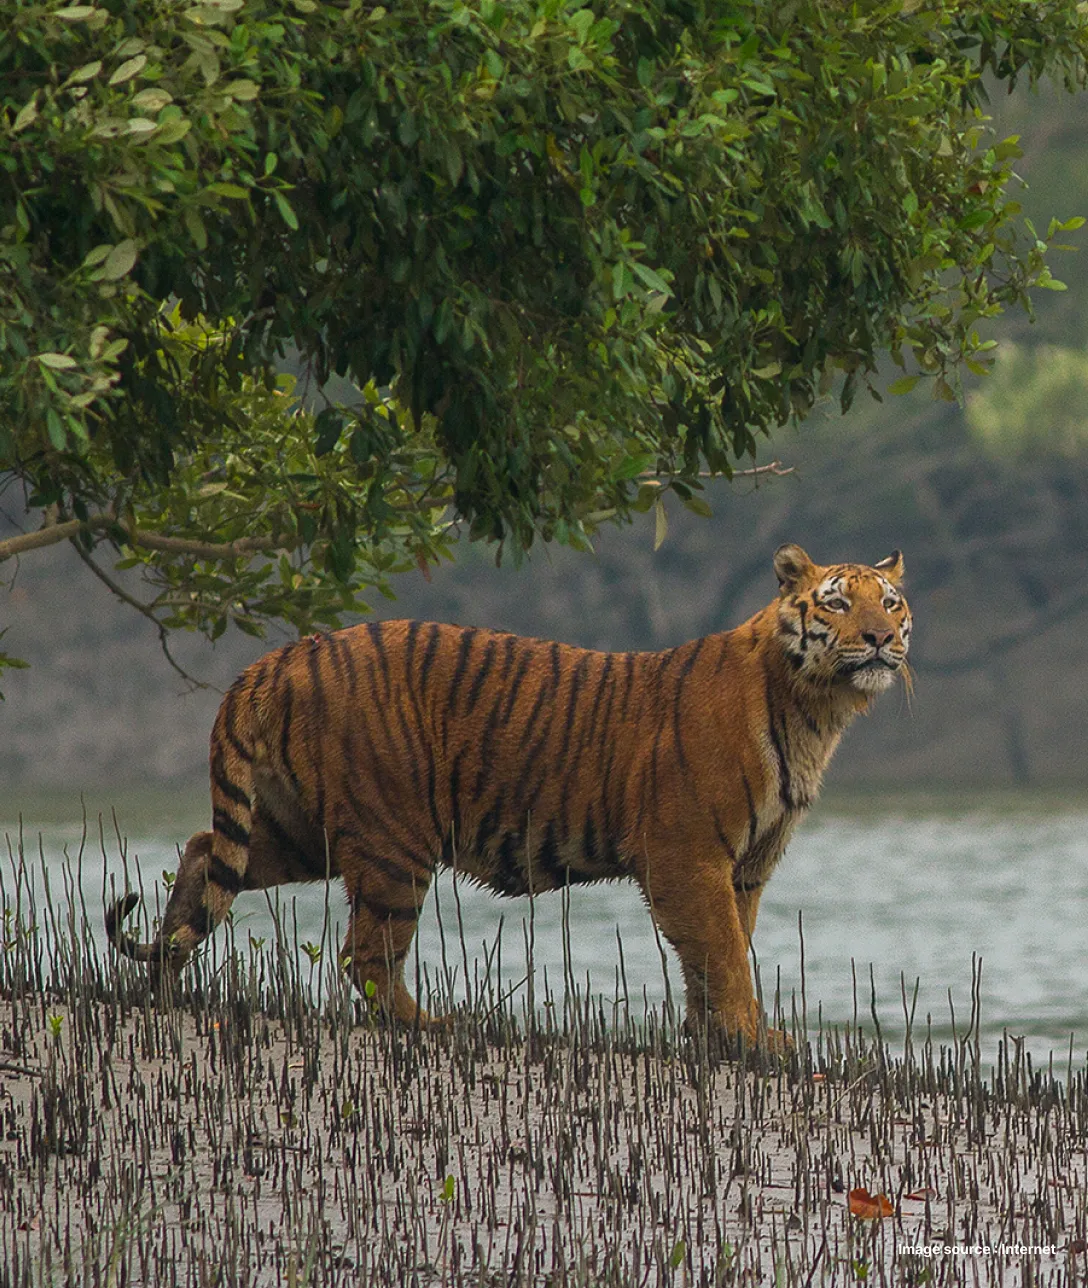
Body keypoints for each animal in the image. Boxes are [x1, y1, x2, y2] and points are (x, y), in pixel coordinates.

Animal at [106, 543, 911, 1049]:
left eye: (892, 603)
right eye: (838, 605)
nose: (879, 639)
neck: (816, 709)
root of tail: (280, 656)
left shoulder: (746, 865)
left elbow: (724, 950)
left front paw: (716, 1035)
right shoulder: (689, 855)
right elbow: (722, 953)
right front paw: (751, 1038)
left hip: (302, 829)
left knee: (205, 852)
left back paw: (164, 984)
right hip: (393, 841)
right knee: (366, 955)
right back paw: (430, 1025)